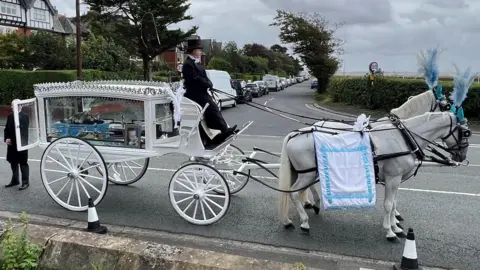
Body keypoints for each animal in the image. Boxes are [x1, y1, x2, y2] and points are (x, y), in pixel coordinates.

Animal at [280, 110, 470, 242]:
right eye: (465, 133)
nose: (461, 157)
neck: (403, 138)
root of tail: (294, 134)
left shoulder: (396, 180)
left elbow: (394, 204)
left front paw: (396, 227)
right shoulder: (393, 179)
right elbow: (388, 205)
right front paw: (390, 232)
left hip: (308, 173)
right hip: (307, 174)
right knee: (294, 194)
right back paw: (303, 222)